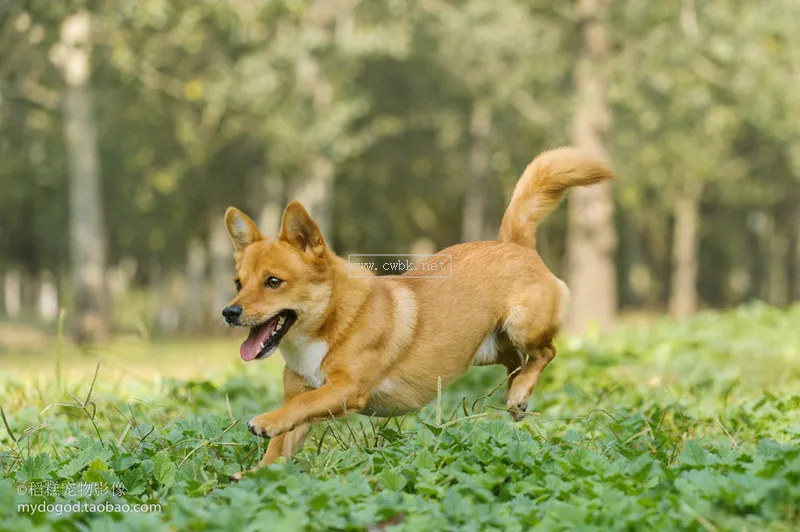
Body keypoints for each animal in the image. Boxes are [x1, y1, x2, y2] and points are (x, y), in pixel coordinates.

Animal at [222, 147, 616, 478]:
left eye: (273, 282)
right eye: (238, 282)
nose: (229, 312)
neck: (332, 321)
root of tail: (514, 243)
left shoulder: (345, 390)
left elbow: (302, 405)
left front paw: (266, 420)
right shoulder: (304, 405)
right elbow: (281, 443)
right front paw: (252, 476)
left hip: (522, 326)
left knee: (545, 352)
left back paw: (519, 393)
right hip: (484, 349)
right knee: (517, 361)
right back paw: (516, 396)